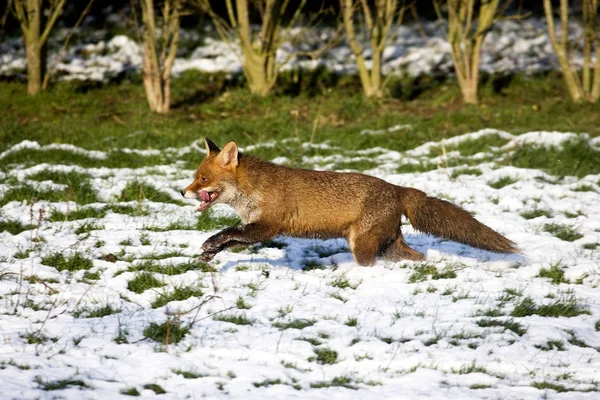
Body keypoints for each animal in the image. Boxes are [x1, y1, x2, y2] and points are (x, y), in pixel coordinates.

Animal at [180, 139, 516, 268]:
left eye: (203, 179)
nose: (183, 192)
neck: (253, 189)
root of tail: (396, 188)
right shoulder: (256, 227)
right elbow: (229, 240)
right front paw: (209, 253)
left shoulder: (267, 226)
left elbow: (227, 232)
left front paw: (210, 244)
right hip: (391, 246)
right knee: (416, 257)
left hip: (362, 245)